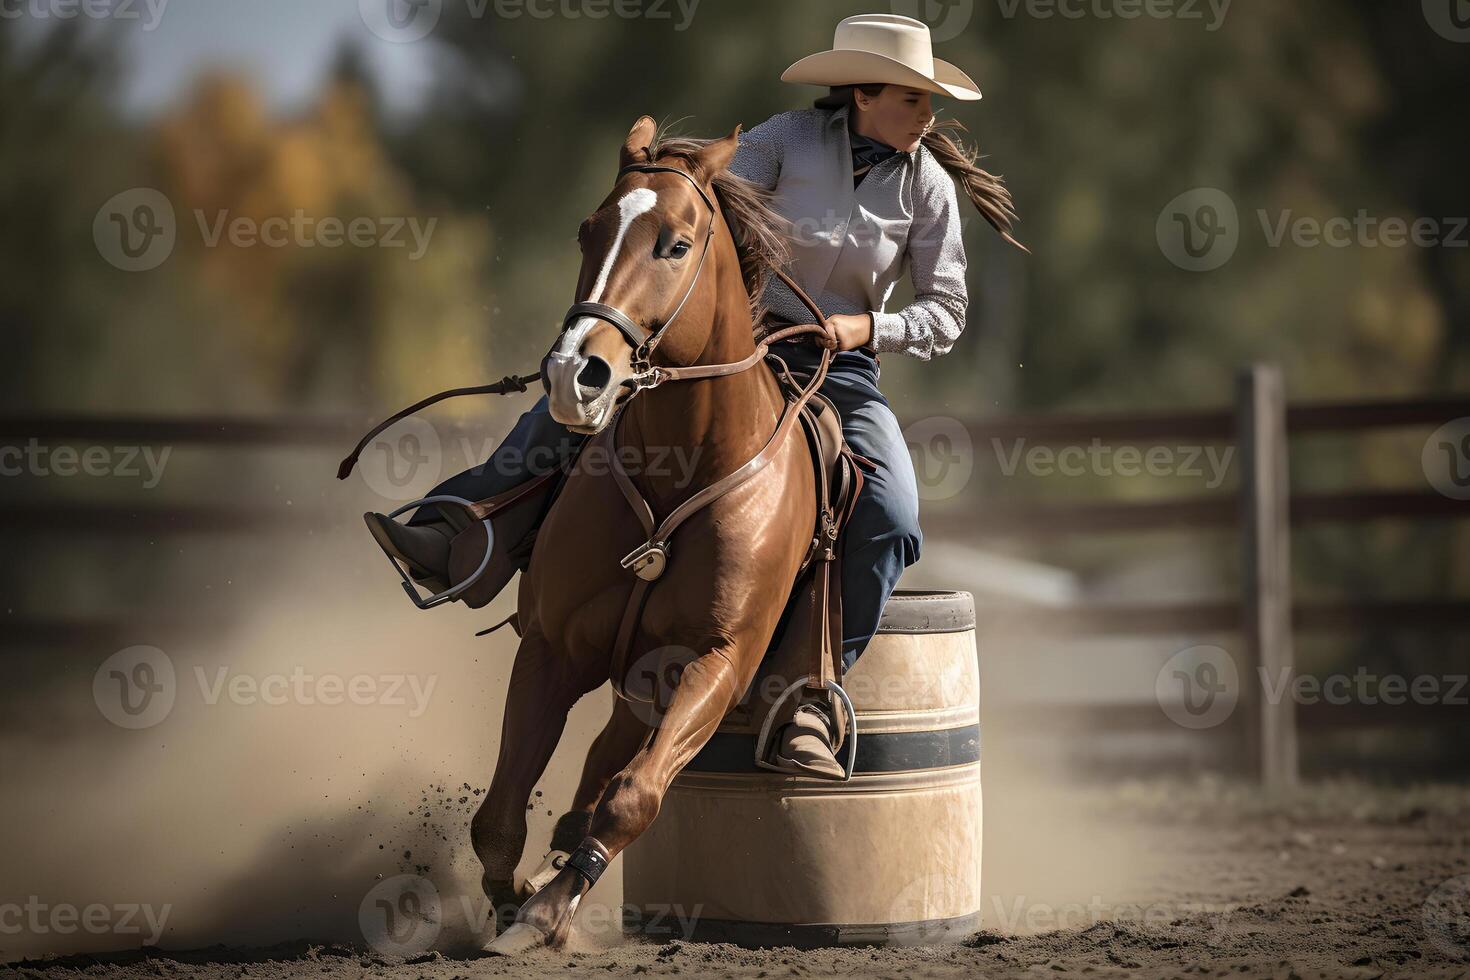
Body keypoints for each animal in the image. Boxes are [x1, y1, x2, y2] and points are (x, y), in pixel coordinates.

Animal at [476, 113, 834, 952]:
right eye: (587, 229)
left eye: (675, 244)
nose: (575, 374)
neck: (687, 462)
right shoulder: (551, 648)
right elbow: (500, 814)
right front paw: (513, 900)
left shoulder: (717, 662)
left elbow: (633, 795)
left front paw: (545, 910)